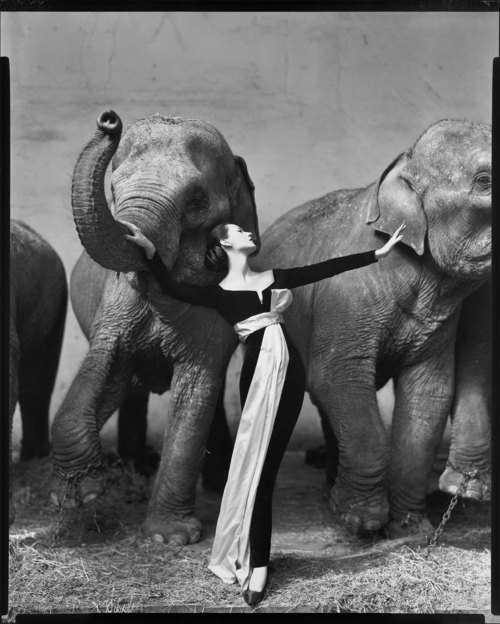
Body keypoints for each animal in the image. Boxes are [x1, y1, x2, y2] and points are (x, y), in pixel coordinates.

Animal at [49, 109, 258, 544]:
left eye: (196, 201)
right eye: (113, 189)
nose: (109, 120)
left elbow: (197, 388)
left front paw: (169, 538)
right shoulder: (115, 303)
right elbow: (104, 364)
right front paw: (80, 496)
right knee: (130, 388)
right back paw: (136, 469)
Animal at [254, 120, 492, 536]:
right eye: (485, 181)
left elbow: (429, 393)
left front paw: (412, 529)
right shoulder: (345, 297)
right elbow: (337, 377)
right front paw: (359, 521)